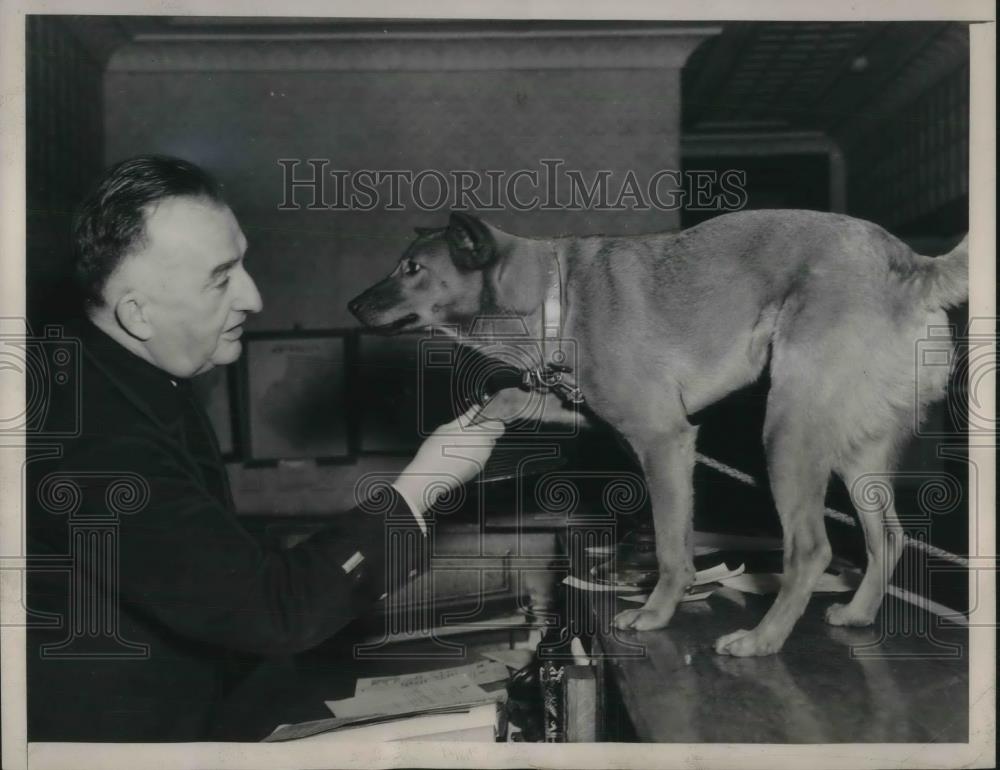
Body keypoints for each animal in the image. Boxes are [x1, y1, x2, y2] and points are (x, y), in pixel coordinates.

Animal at [348, 210, 964, 656]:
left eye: (411, 268)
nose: (352, 305)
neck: (556, 295)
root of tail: (911, 266)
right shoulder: (590, 411)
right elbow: (516, 396)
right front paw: (482, 419)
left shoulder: (663, 440)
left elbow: (672, 549)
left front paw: (655, 613)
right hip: (856, 456)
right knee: (888, 537)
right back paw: (858, 612)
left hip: (788, 435)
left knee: (810, 550)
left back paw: (762, 640)